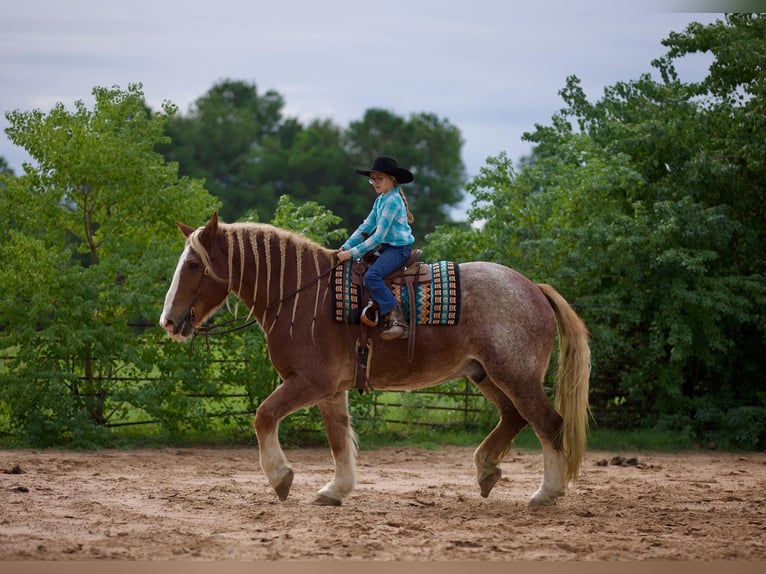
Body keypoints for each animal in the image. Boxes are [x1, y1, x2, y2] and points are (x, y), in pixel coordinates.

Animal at [159, 213, 592, 508]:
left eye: (193, 265)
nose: (168, 321)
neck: (302, 297)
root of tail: (533, 287)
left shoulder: (309, 383)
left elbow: (264, 416)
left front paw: (281, 478)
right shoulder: (331, 391)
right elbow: (338, 438)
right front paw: (336, 490)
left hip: (515, 376)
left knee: (548, 424)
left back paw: (546, 493)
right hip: (484, 374)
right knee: (514, 417)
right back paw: (487, 471)